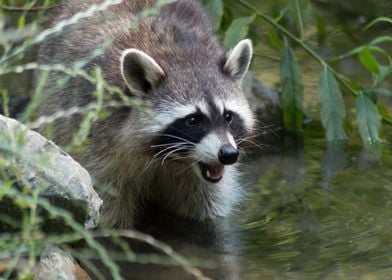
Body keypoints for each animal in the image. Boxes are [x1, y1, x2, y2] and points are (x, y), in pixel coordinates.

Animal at [36, 0, 256, 228]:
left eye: (228, 116)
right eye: (193, 120)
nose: (228, 154)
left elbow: (208, 209)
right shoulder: (97, 140)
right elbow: (107, 209)